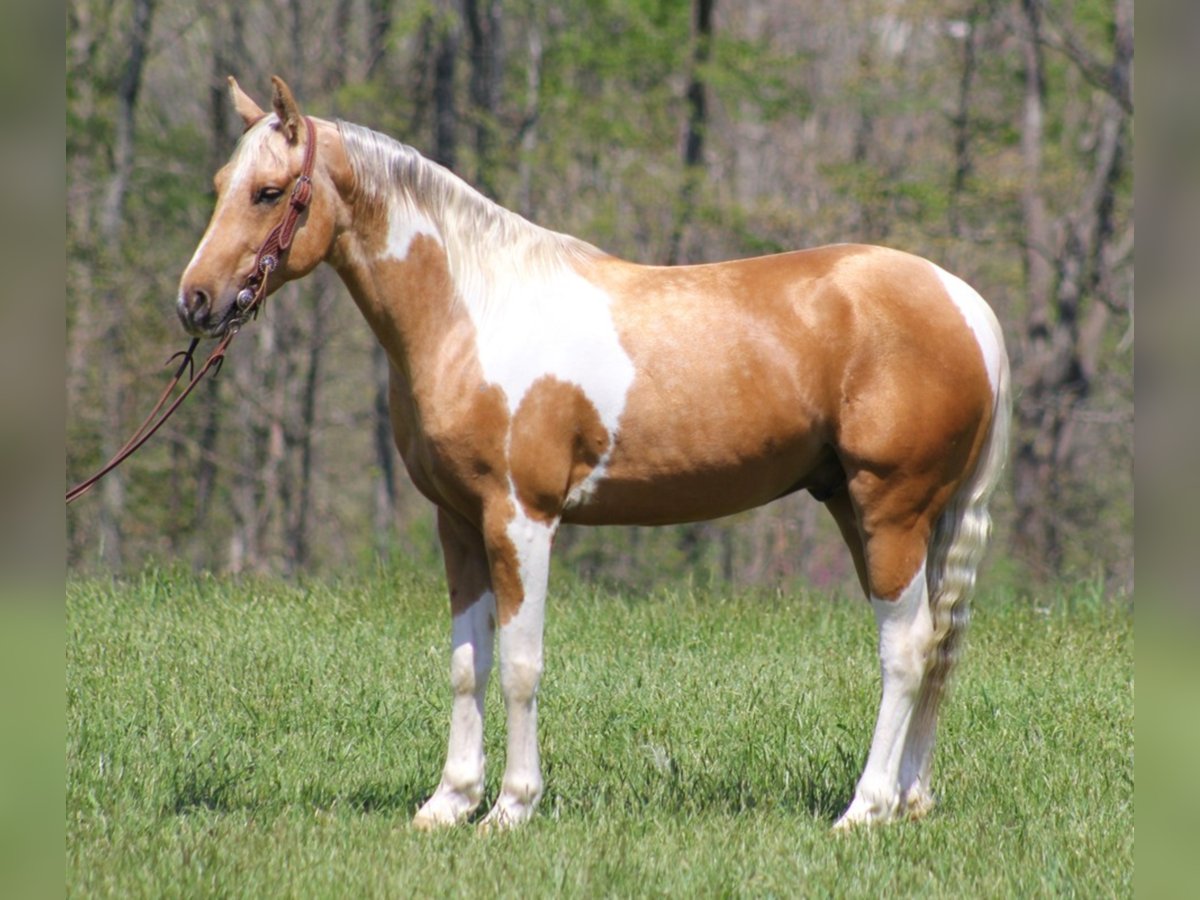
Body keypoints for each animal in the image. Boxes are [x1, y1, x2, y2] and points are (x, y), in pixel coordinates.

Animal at [177, 77, 1012, 830]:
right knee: (936, 642)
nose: (194, 301)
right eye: (220, 185)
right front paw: (448, 803)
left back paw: (865, 809)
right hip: (864, 507)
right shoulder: (459, 521)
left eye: (269, 192)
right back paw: (908, 800)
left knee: (905, 648)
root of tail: (965, 303)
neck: (475, 310)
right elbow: (467, 663)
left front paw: (510, 807)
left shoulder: (522, 518)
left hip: (890, 509)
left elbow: (520, 665)